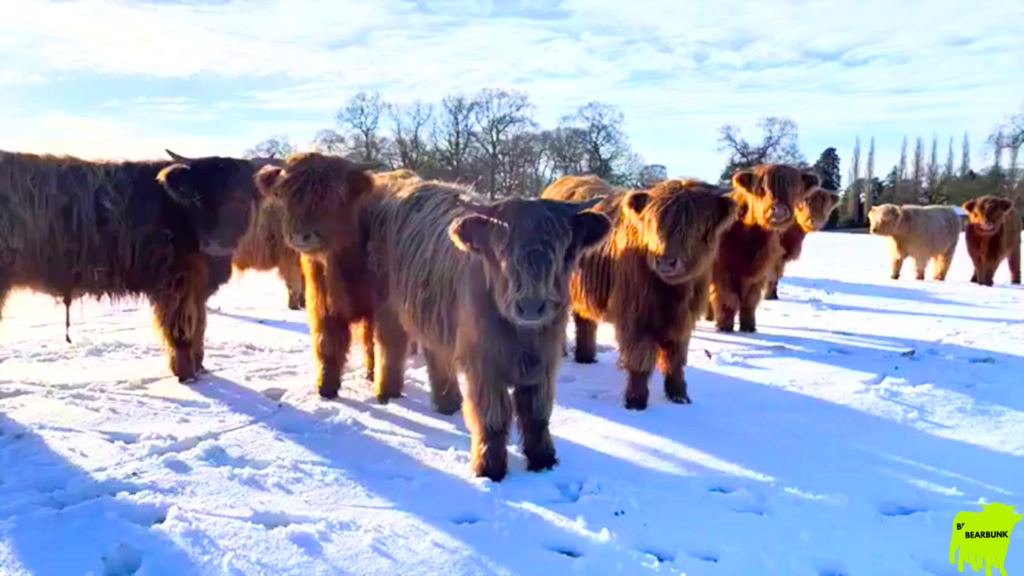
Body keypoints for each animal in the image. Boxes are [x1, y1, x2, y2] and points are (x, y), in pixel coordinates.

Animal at [0, 149, 266, 382]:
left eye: (243, 198)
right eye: (198, 199)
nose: (217, 244)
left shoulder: (197, 289)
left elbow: (200, 328)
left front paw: (200, 369)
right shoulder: (176, 286)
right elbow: (181, 333)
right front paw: (186, 376)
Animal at [543, 175, 737, 410]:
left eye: (696, 226)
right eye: (652, 224)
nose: (665, 261)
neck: (672, 292)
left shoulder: (683, 320)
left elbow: (676, 359)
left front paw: (679, 396)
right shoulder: (635, 317)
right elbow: (640, 359)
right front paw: (636, 401)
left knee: (585, 320)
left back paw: (586, 358)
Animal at [708, 164, 820, 333]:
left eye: (793, 188)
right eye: (761, 188)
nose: (779, 210)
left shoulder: (759, 271)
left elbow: (749, 300)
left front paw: (749, 327)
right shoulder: (722, 270)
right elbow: (728, 298)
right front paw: (725, 327)